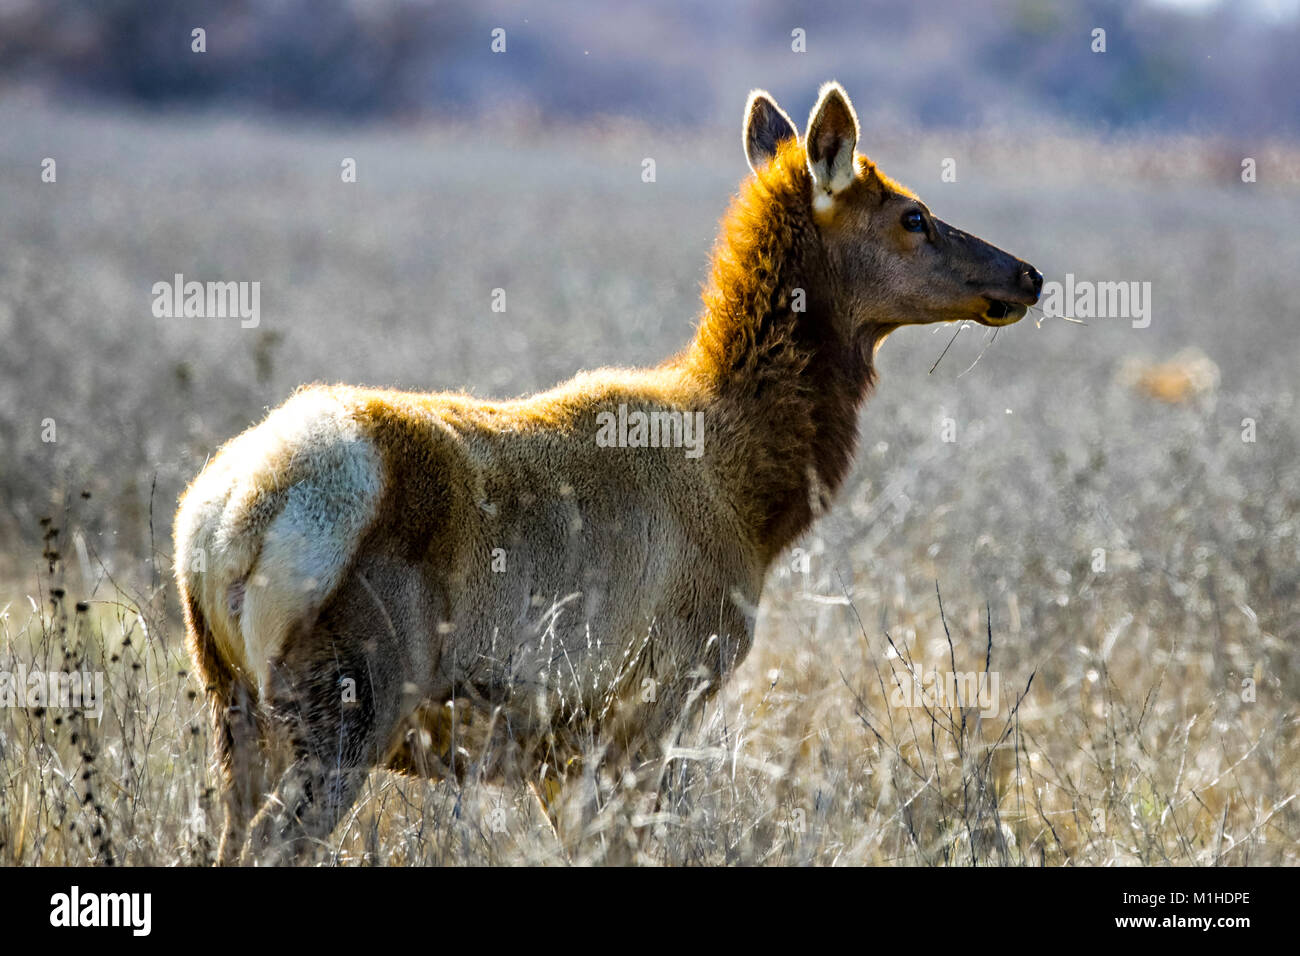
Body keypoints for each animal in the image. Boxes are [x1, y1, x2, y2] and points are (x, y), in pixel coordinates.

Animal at [175, 82, 1045, 863]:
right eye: (914, 215)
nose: (1027, 275)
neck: (751, 497)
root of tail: (225, 523)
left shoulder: (565, 745)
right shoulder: (654, 698)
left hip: (233, 706)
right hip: (350, 698)